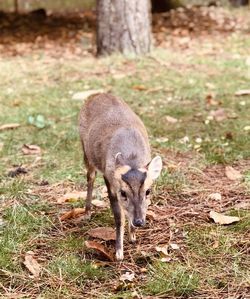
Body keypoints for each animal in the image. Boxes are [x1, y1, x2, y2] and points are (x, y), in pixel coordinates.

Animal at [79, 92, 163, 262]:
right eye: (123, 192)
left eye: (148, 191)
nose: (139, 222)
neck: (131, 157)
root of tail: (97, 94)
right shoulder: (110, 180)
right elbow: (119, 217)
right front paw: (119, 253)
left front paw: (133, 236)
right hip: (85, 149)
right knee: (90, 177)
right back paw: (87, 213)